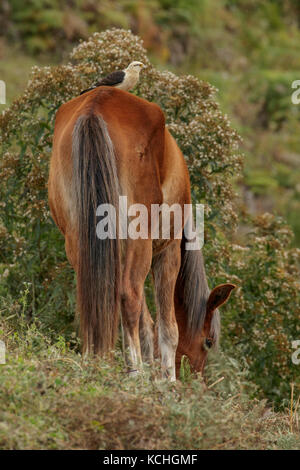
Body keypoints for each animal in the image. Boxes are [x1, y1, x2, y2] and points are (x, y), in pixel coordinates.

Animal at [48, 86, 234, 380]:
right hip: (140, 241)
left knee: (94, 294)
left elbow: (146, 325)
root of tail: (95, 106)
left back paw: (93, 361)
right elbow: (167, 328)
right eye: (208, 341)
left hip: (79, 238)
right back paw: (134, 371)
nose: (197, 382)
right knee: (129, 296)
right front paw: (166, 380)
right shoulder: (167, 252)